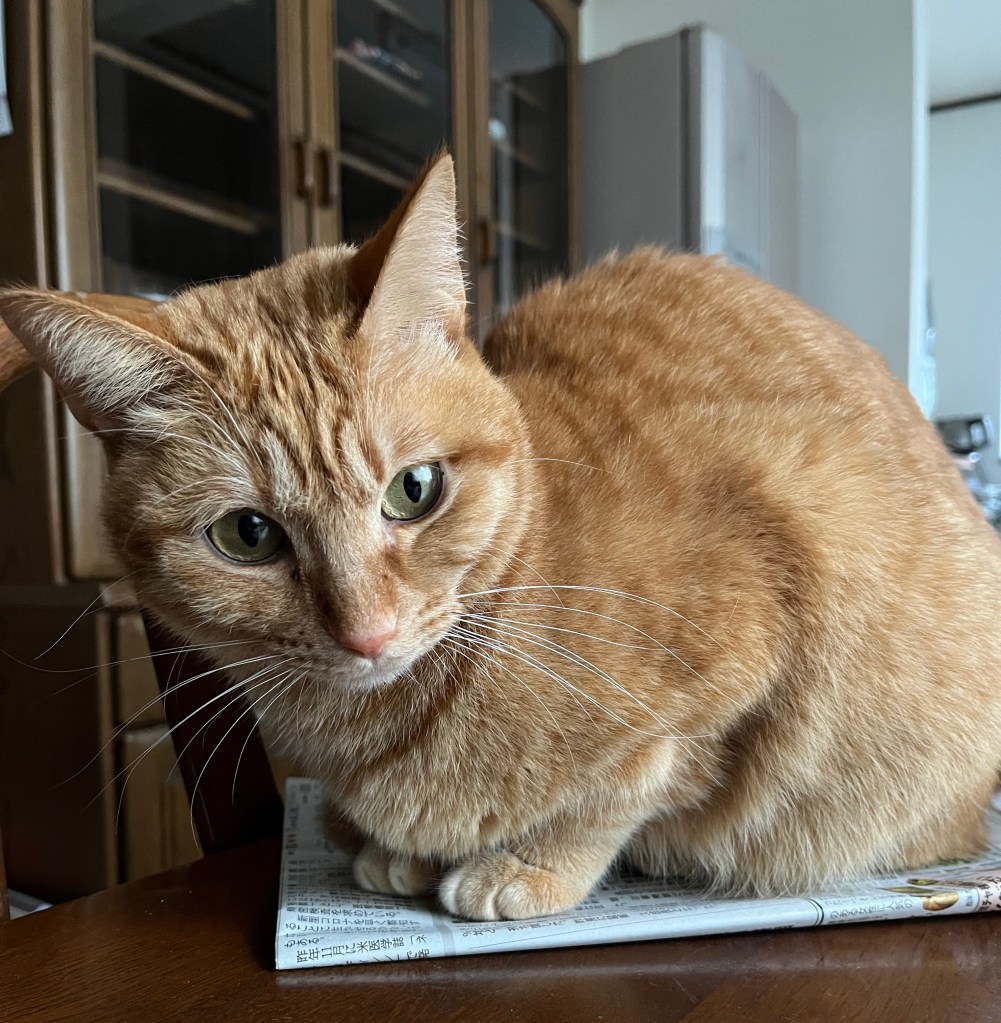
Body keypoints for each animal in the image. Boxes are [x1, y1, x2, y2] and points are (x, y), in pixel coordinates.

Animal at [2, 153, 1001, 921]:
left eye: (413, 491)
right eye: (248, 535)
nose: (366, 632)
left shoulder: (754, 636)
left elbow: (631, 787)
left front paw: (530, 864)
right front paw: (399, 853)